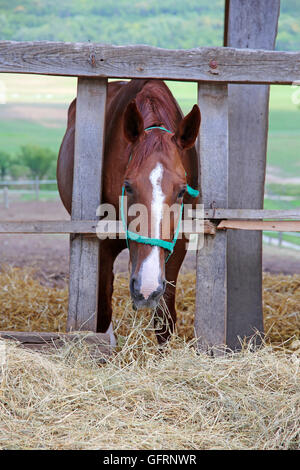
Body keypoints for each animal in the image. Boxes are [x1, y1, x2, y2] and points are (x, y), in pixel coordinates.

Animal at [57, 79, 200, 346]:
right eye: (129, 186)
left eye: (181, 191)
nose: (146, 287)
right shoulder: (102, 245)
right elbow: (103, 313)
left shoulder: (178, 244)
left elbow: (164, 319)